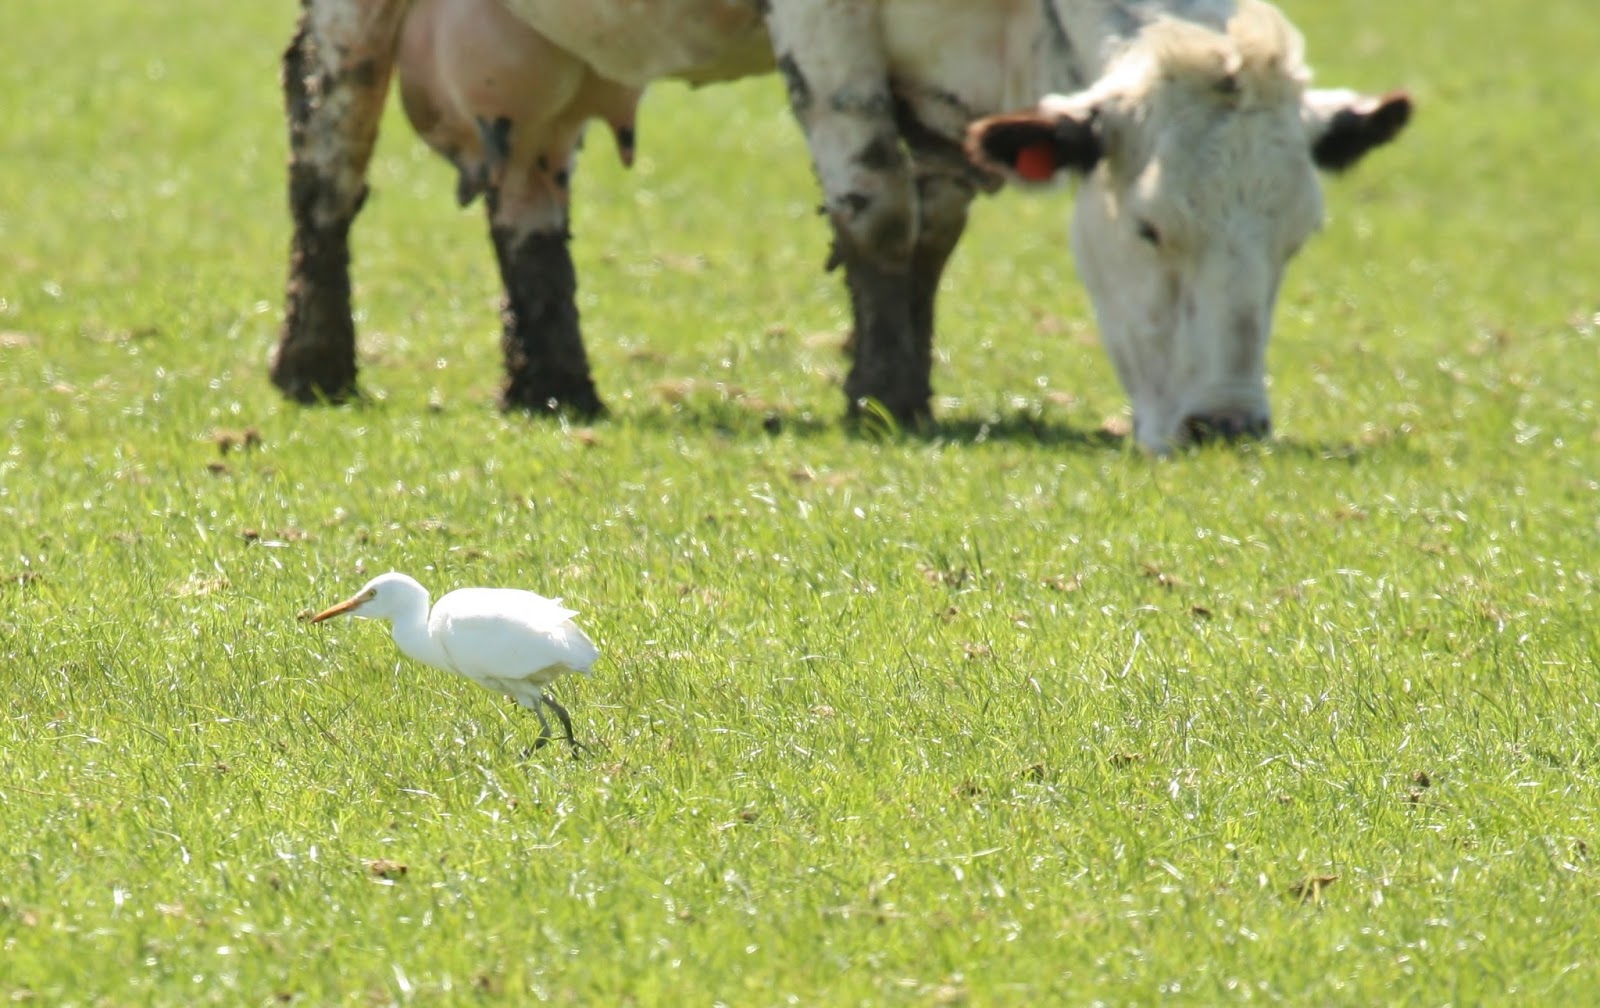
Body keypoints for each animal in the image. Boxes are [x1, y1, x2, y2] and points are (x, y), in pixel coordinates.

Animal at [270, 0, 1410, 452]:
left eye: (1296, 241)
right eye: (1146, 229)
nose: (1229, 424)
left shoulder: (953, 99)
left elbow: (929, 239)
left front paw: (899, 383)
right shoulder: (826, 30)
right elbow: (877, 210)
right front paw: (883, 403)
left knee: (530, 208)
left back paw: (555, 387)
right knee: (329, 146)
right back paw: (315, 364)